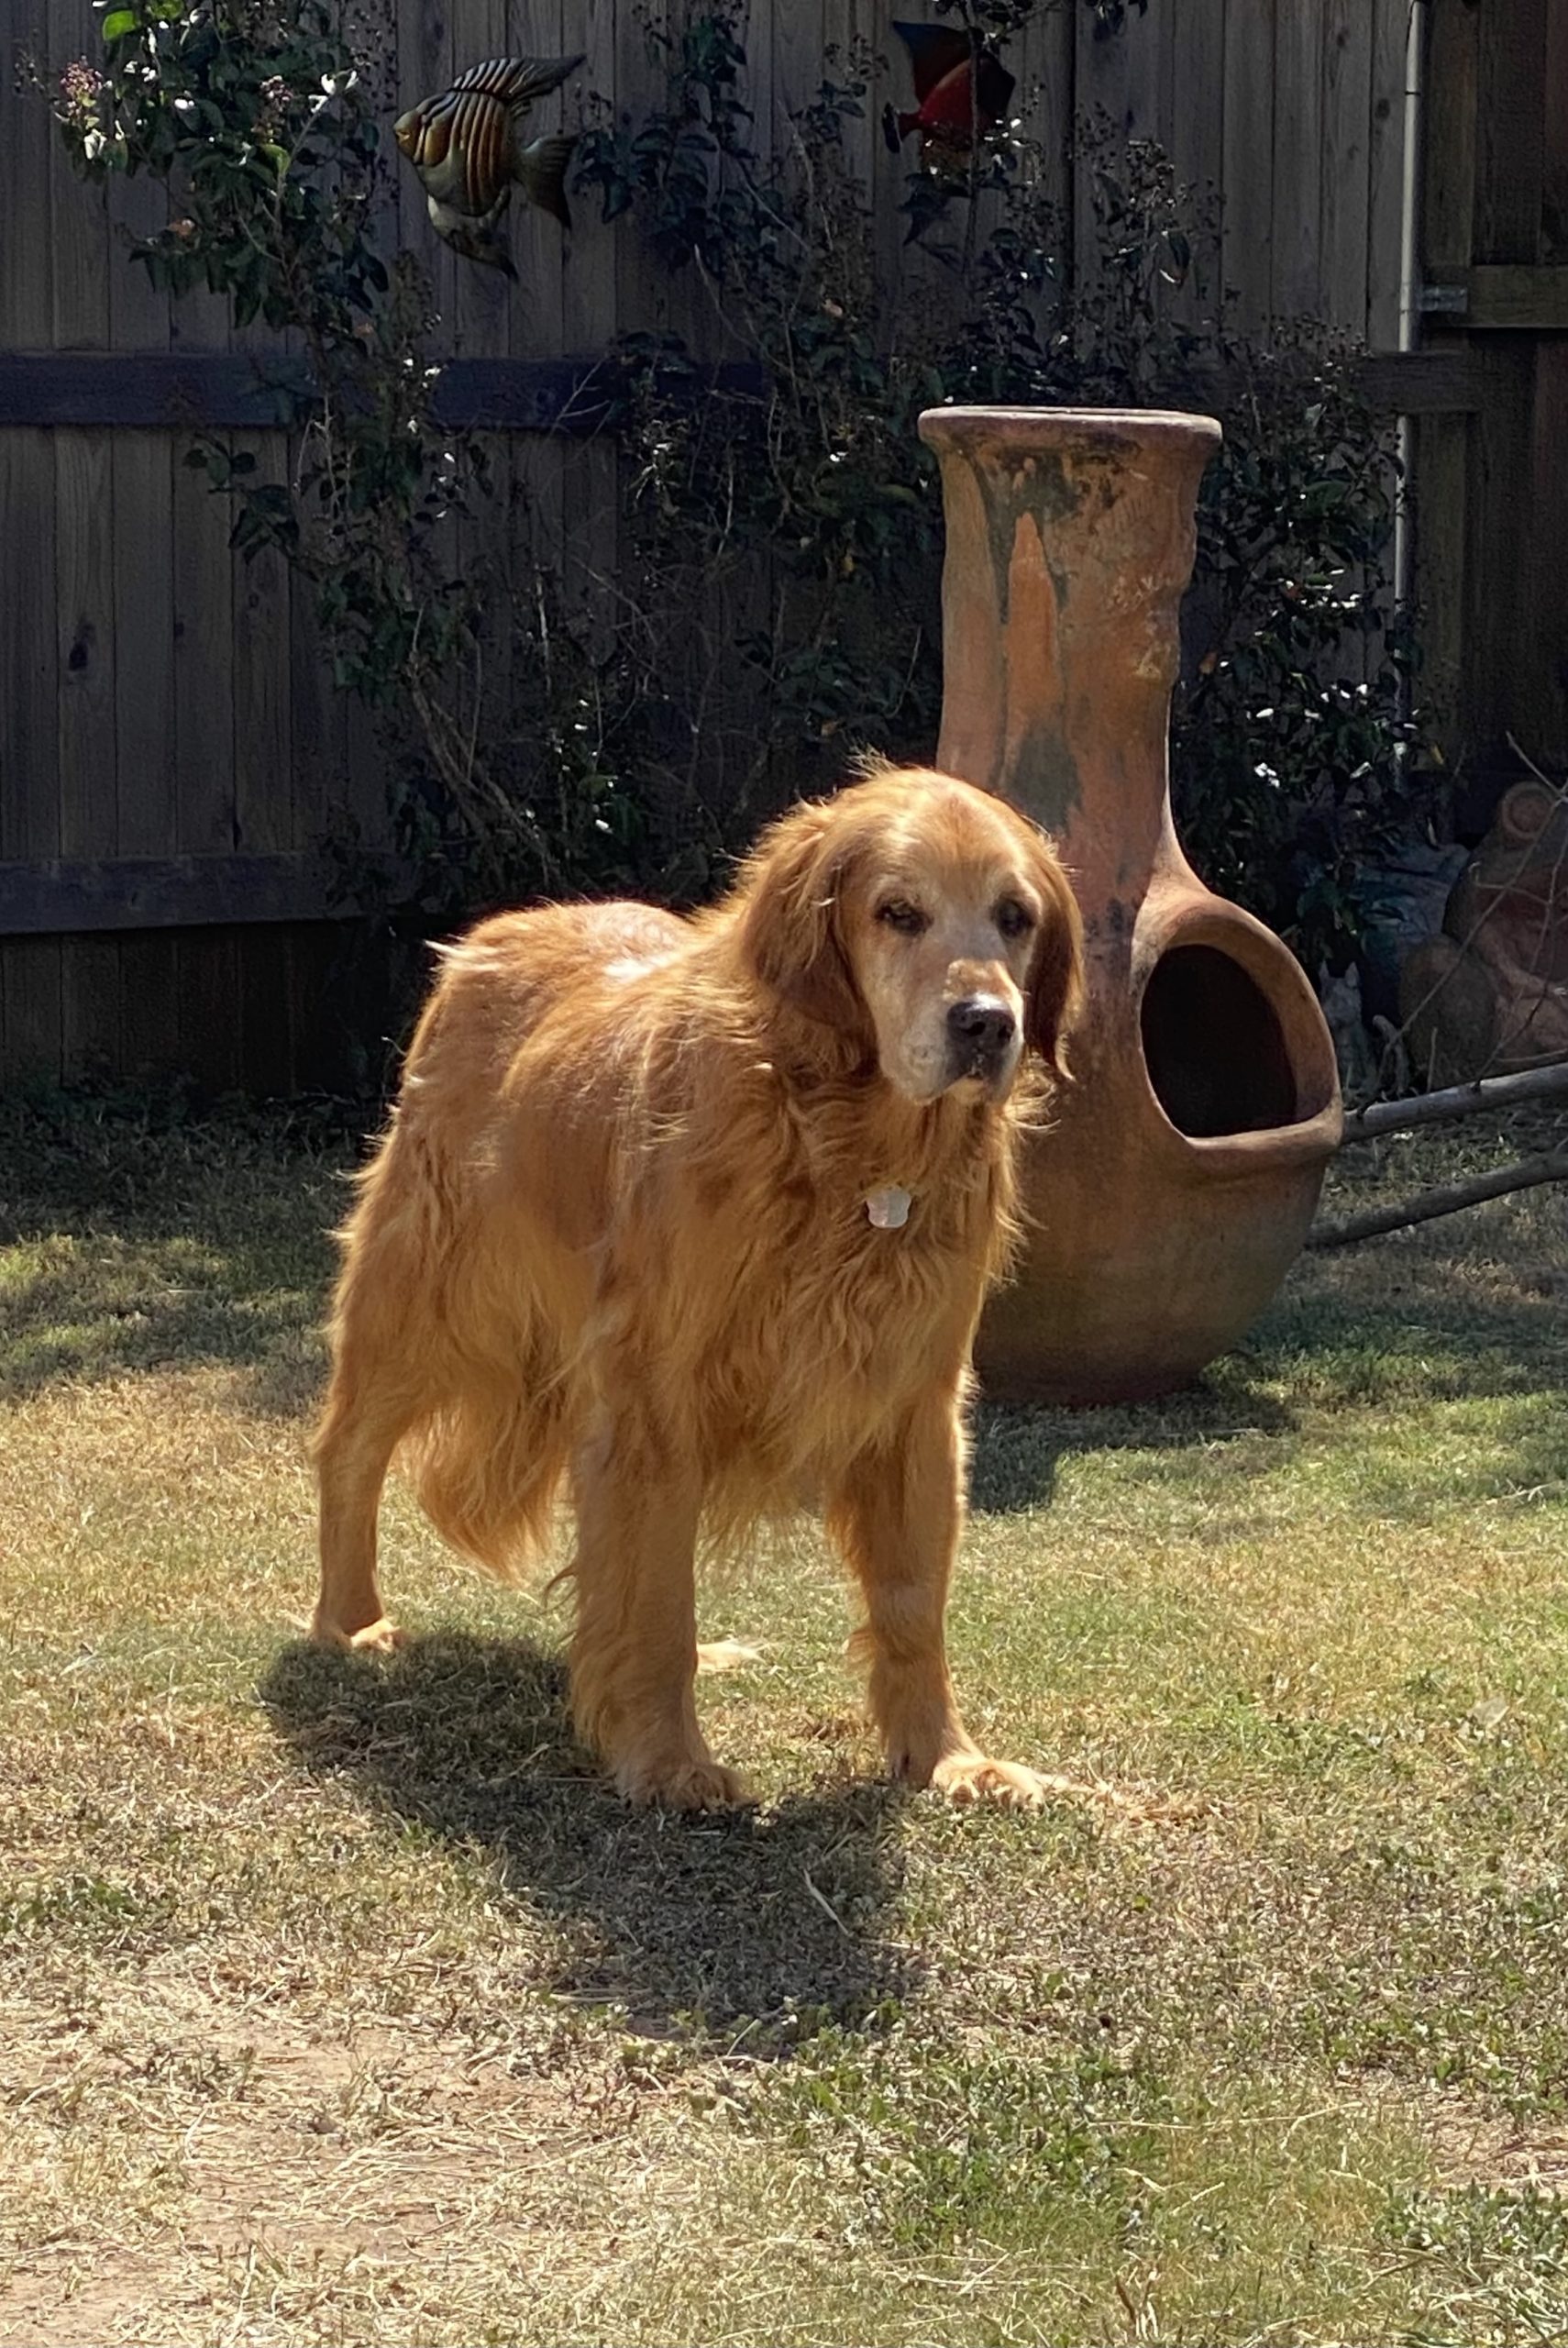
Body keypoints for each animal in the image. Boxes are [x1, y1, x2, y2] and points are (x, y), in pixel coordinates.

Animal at [310, 764, 1084, 1809]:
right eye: (898, 912)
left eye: (1015, 916)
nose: (988, 1025)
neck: (847, 1149)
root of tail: (490, 937)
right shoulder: (655, 1397)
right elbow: (655, 1598)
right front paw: (667, 1757)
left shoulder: (914, 1403)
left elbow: (911, 1603)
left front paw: (947, 1757)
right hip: (432, 1300)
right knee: (348, 1451)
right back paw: (350, 1621)